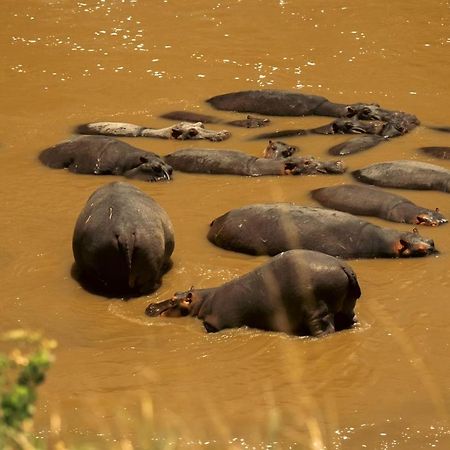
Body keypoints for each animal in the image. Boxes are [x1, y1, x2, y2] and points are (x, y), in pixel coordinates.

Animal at [145, 250, 362, 338]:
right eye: (174, 292)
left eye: (175, 300)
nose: (150, 306)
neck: (203, 301)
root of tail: (343, 266)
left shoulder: (217, 323)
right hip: (347, 307)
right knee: (349, 319)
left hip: (317, 312)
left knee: (325, 330)